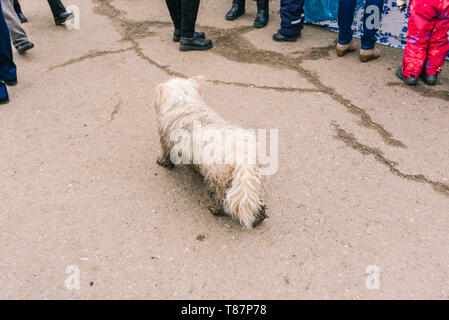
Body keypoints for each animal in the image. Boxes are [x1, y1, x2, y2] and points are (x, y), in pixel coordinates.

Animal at [154, 76, 266, 229]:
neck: (186, 103)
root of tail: (240, 155)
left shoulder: (166, 140)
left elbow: (166, 154)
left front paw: (162, 162)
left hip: (218, 179)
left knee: (220, 197)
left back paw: (215, 210)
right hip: (250, 180)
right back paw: (260, 217)